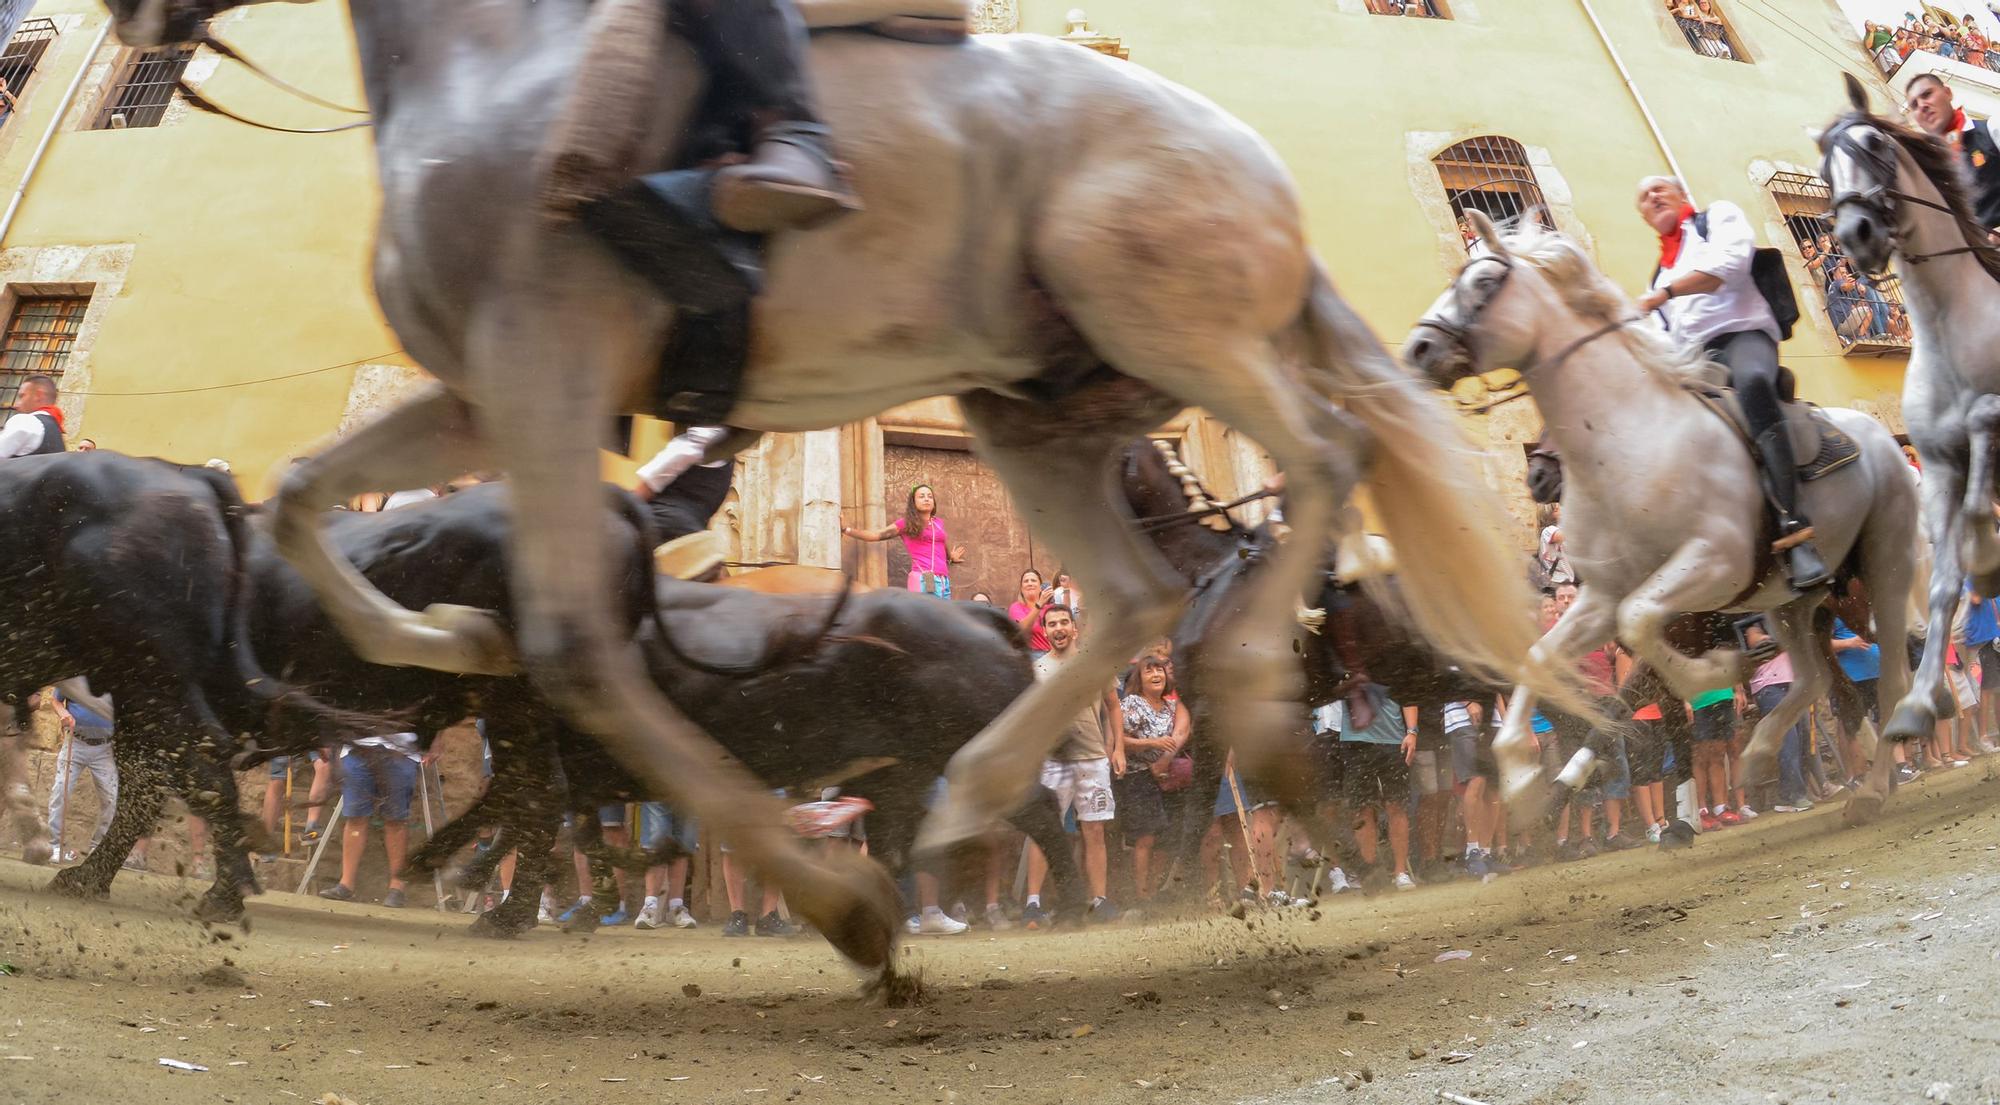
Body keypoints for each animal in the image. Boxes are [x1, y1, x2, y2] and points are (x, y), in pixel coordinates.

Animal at [97, 0, 1560, 968]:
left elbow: (568, 650)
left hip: (1168, 319)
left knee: (1324, 460)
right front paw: (430, 642)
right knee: (1140, 599)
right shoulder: (486, 389)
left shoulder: (543, 363)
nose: (142, 24)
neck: (497, 69)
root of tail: (1255, 172)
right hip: (1033, 405)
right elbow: (306, 491)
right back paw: (997, 786)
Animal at [1400, 211, 1912, 824]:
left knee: (1892, 677)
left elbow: (1639, 623)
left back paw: (1875, 784)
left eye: (1483, 283)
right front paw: (1523, 779)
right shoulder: (1602, 596)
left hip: (1881, 571)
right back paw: (1763, 755)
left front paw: (1717, 671)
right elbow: (1543, 656)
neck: (1625, 444)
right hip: (1795, 603)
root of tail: (1880, 438)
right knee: (1816, 681)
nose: (1418, 348)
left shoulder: (1713, 563)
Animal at [1816, 75, 2000, 752]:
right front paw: (1918, 703)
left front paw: (1985, 553)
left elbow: (1982, 422)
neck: (1948, 324)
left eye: (1874, 144)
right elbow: (1945, 582)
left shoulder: (1989, 421)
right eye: (1824, 162)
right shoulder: (1941, 466)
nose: (1858, 235)